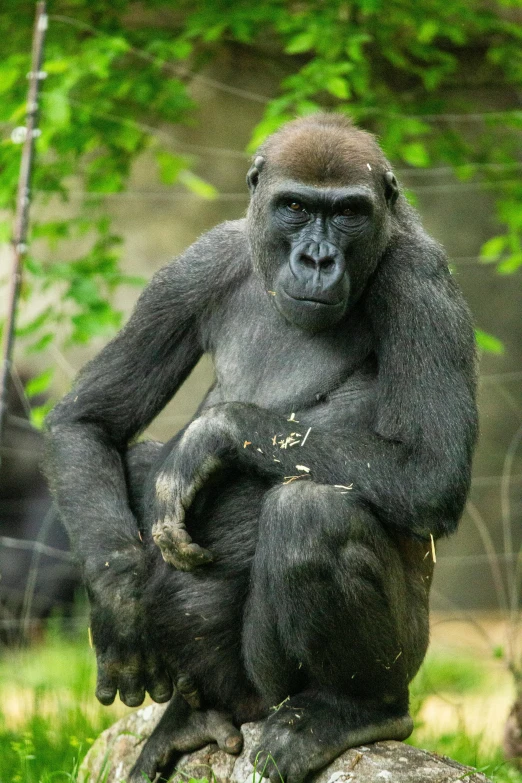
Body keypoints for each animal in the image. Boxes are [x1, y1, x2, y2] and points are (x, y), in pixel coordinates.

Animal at [44, 112, 476, 783]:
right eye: (294, 207)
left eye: (348, 213)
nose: (317, 258)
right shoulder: (199, 264)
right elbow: (90, 422)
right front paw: (118, 605)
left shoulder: (420, 279)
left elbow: (431, 472)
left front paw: (211, 437)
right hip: (224, 687)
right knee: (132, 460)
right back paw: (188, 715)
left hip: (358, 669)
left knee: (310, 516)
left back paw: (356, 710)